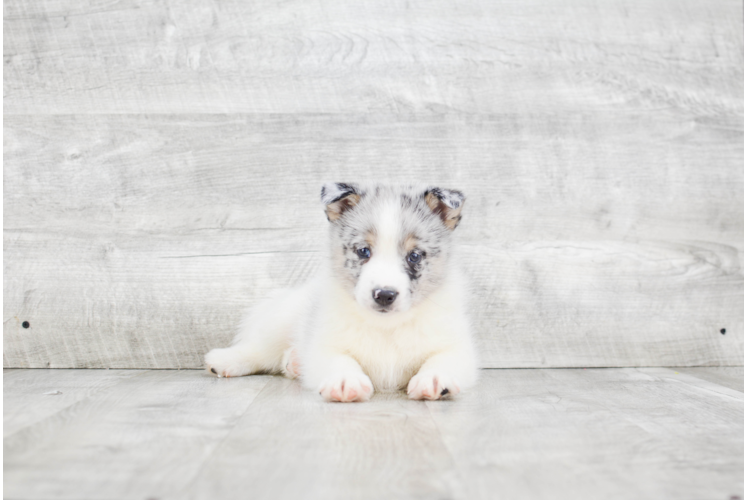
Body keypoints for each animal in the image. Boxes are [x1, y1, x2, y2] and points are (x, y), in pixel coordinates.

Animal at [206, 184, 480, 402]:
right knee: (259, 348)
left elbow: (442, 358)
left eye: (414, 256)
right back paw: (225, 360)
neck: (386, 327)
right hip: (283, 319)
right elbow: (340, 359)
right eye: (363, 251)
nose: (384, 295)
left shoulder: (457, 346)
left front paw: (434, 377)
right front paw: (345, 380)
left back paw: (293, 362)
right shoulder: (324, 342)